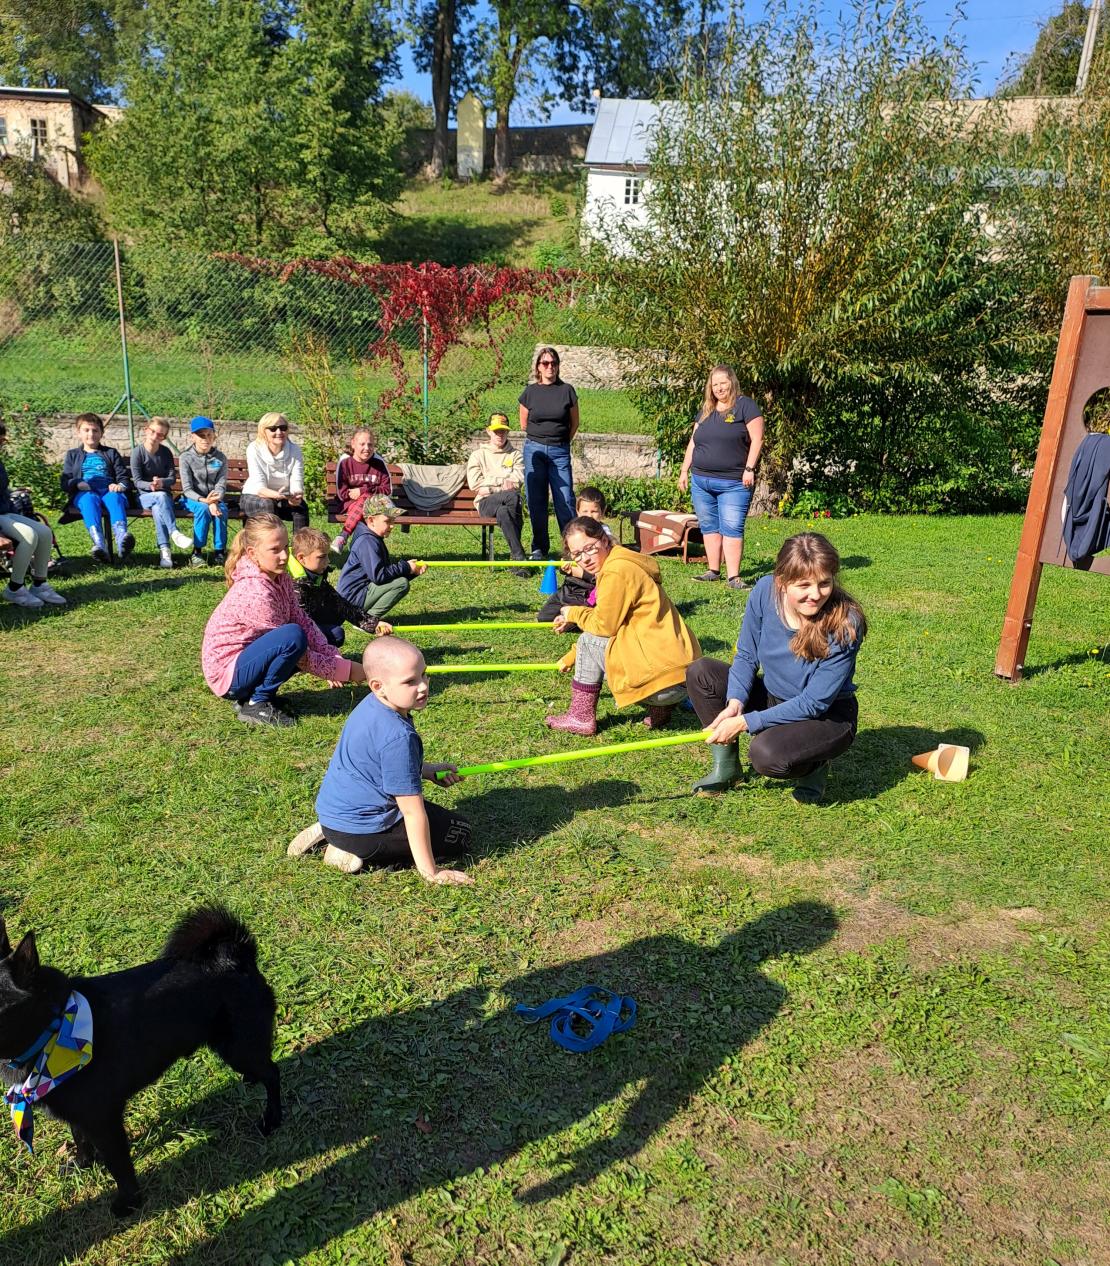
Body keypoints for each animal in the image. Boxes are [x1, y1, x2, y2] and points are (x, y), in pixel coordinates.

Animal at [0, 904, 282, 1215]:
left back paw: (272, 1119)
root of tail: (234, 956)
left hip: (239, 1048)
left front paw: (128, 1202)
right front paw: (82, 1164)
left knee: (273, 1073)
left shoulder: (104, 1120)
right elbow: (80, 1138)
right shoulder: (78, 1113)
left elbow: (120, 1166)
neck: (55, 1025)